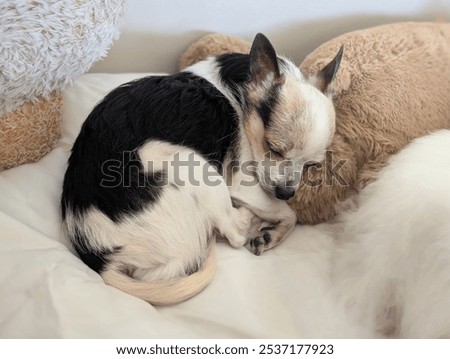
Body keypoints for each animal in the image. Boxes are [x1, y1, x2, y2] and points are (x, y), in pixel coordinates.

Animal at [59, 33, 342, 306]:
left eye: (312, 165)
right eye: (273, 148)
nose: (286, 193)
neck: (243, 96)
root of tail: (101, 260)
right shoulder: (240, 181)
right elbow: (289, 214)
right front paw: (273, 227)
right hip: (191, 163)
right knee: (233, 231)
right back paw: (249, 218)